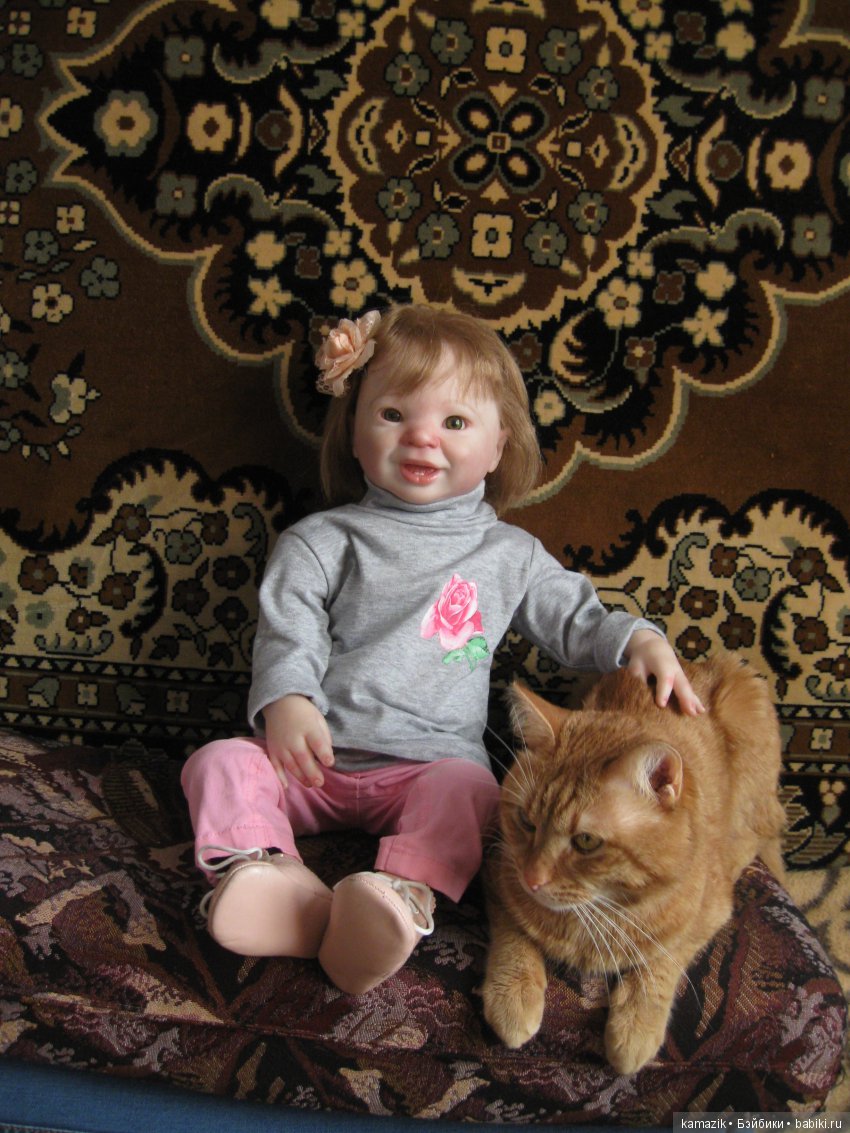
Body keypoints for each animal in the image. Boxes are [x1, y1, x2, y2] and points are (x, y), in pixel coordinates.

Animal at [481, 652, 786, 1076]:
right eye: (526, 821)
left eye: (586, 841)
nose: (532, 878)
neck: (598, 910)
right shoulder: (498, 873)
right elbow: (514, 939)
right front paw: (513, 996)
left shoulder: (709, 913)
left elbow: (661, 961)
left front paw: (636, 1026)